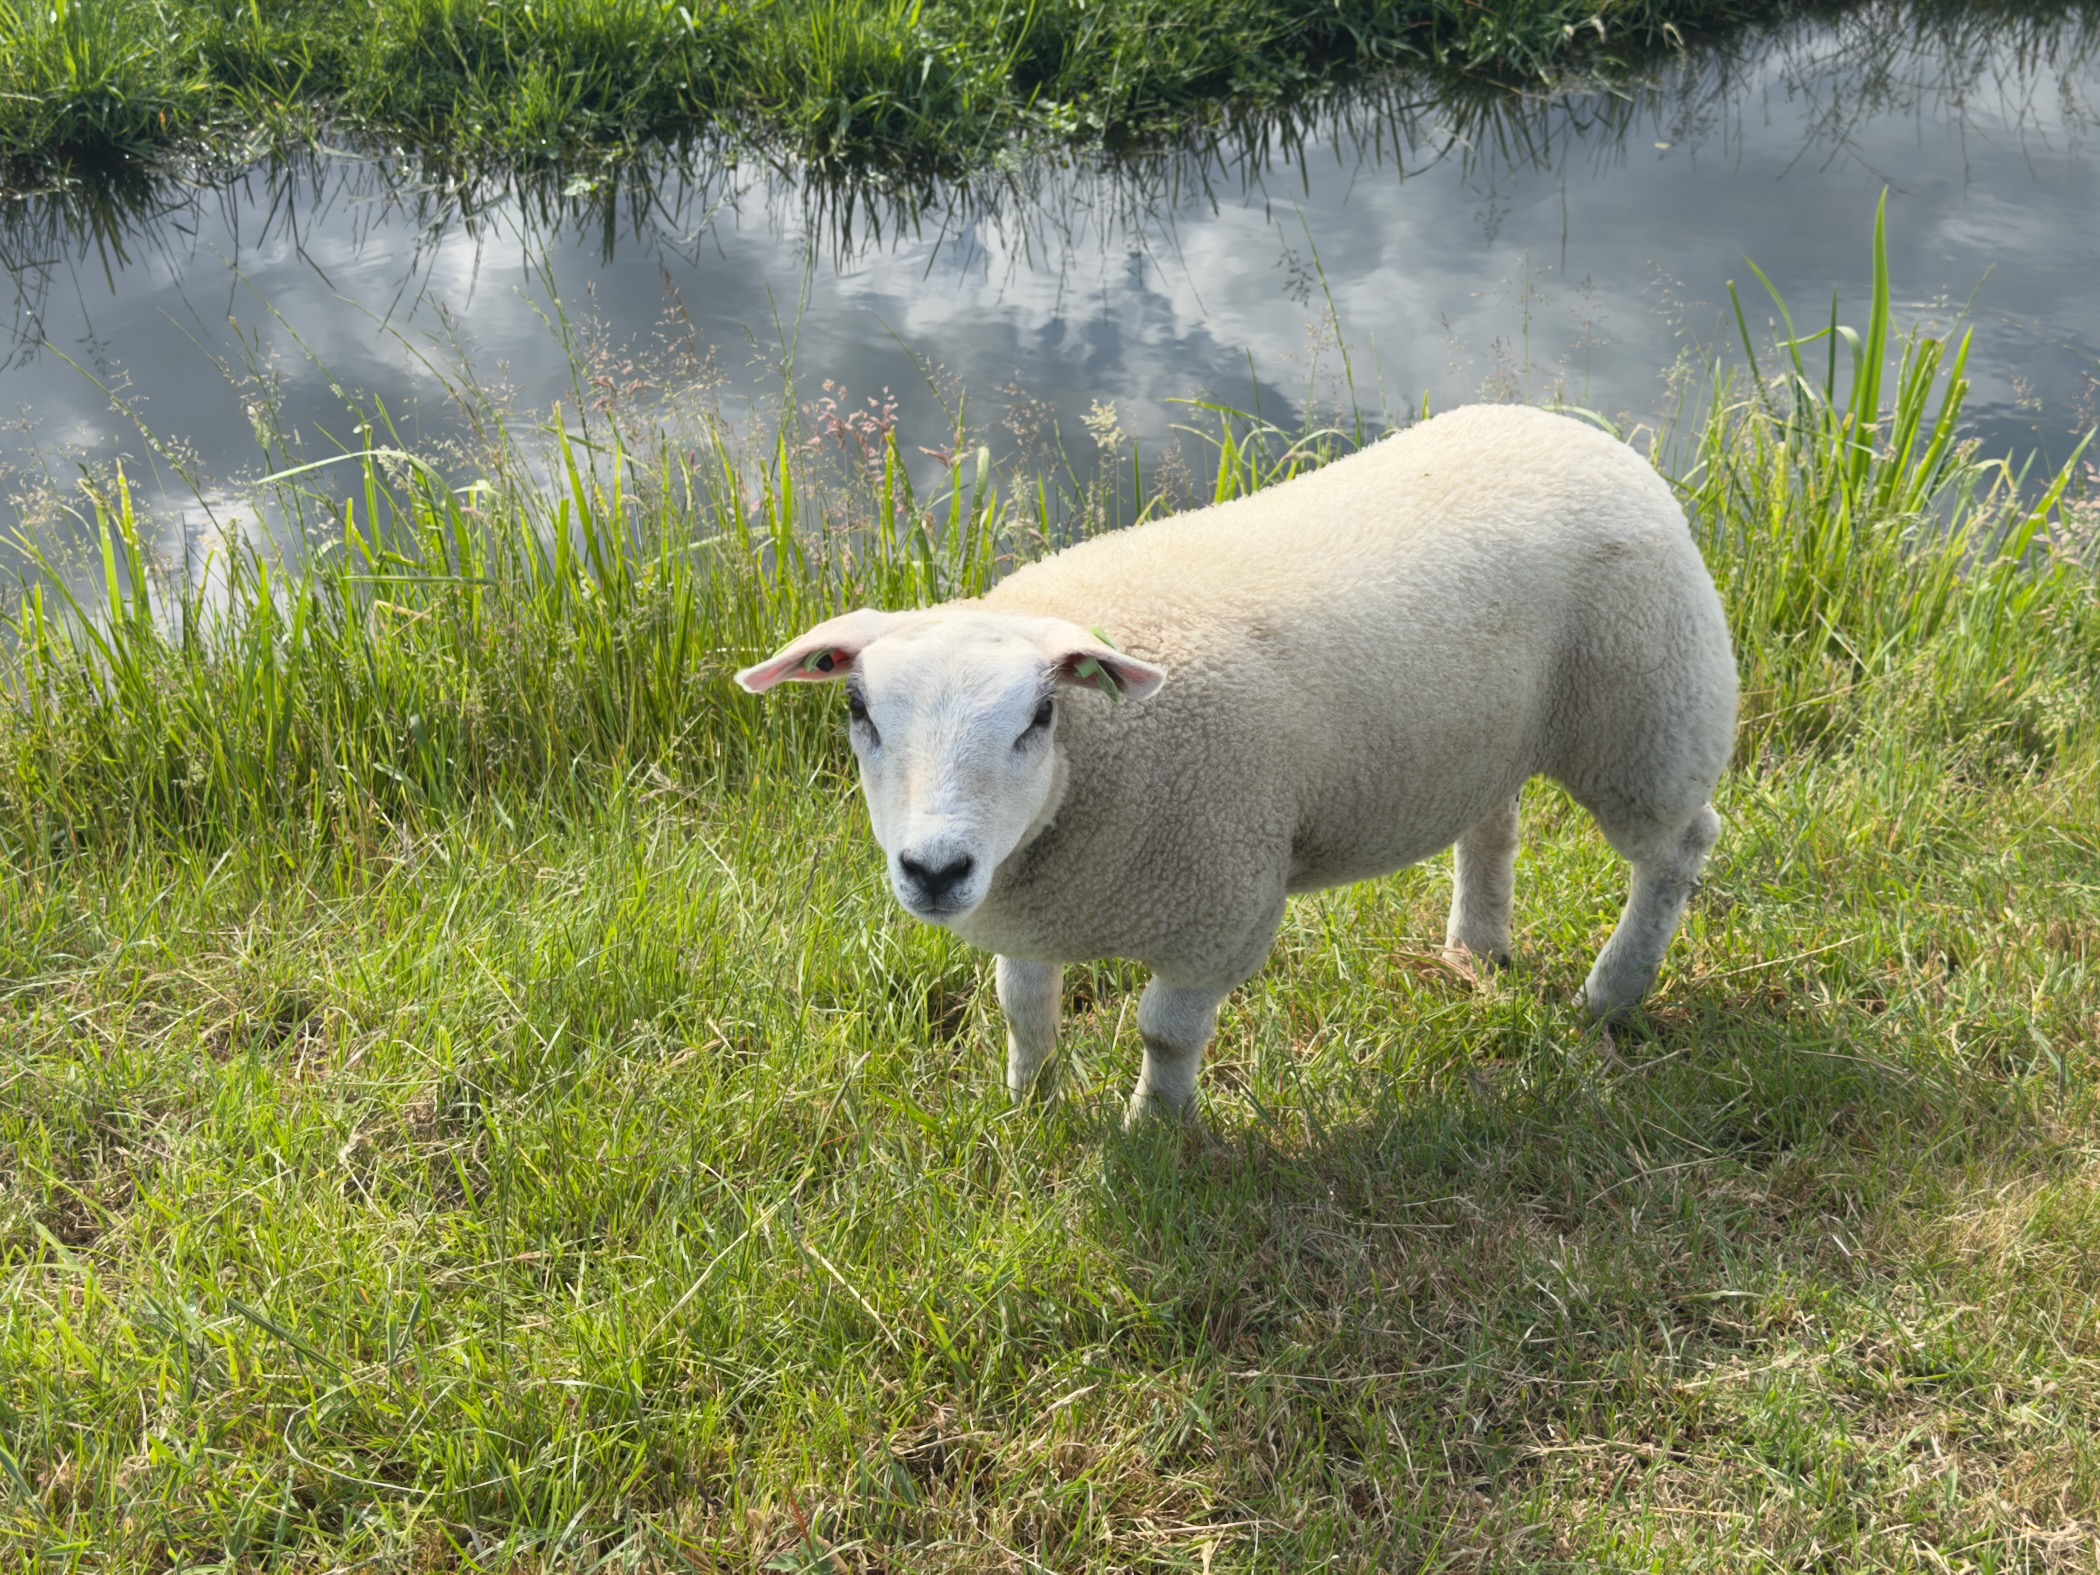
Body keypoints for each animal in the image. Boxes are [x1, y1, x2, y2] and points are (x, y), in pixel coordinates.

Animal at [737, 403, 1739, 1125]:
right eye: (859, 712)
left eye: (1040, 716)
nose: (936, 869)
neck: (1091, 775)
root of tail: (1583, 432)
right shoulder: (1030, 911)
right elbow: (1023, 1008)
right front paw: (1028, 1105)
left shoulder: (1215, 909)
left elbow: (1166, 1035)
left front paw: (1156, 1130)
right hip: (1492, 731)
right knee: (1492, 826)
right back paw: (1477, 946)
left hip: (1648, 714)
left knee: (1678, 849)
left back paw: (1613, 991)